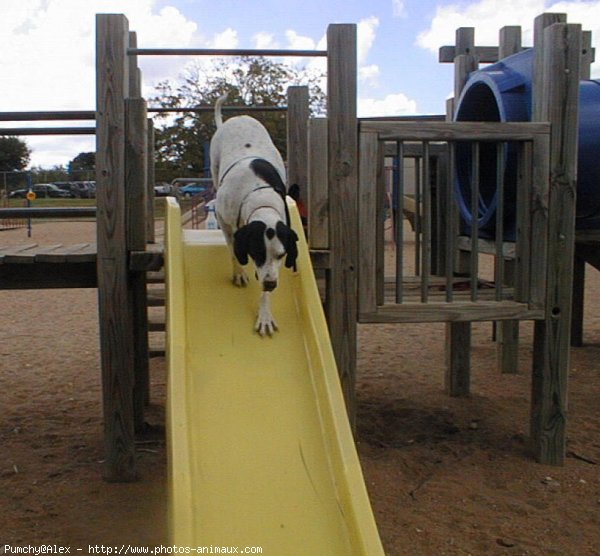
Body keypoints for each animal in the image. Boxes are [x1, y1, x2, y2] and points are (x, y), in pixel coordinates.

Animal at [210, 95, 298, 334]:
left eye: (281, 255)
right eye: (257, 253)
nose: (270, 284)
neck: (261, 199)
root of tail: (236, 118)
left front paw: (265, 314)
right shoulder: (224, 218)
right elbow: (233, 247)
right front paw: (239, 271)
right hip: (214, 165)